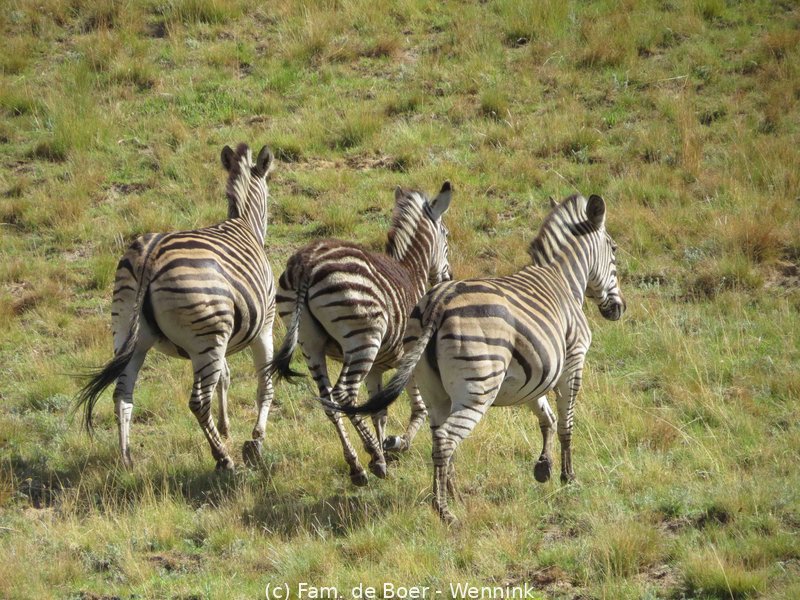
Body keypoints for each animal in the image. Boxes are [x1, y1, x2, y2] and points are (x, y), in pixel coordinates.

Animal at [76, 143, 277, 471]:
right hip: (206, 338)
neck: (243, 222)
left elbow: (225, 377)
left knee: (122, 394)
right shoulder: (264, 326)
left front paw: (226, 428)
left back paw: (127, 459)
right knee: (197, 401)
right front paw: (255, 442)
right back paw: (223, 459)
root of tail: (150, 256)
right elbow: (265, 386)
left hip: (129, 335)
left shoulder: (225, 337)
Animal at [272, 182, 454, 486]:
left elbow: (378, 409)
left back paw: (358, 466)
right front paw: (396, 445)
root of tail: (306, 261)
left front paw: (385, 445)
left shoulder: (378, 368)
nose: (448, 277)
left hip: (309, 343)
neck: (412, 271)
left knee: (329, 401)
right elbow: (419, 408)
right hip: (363, 338)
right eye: (447, 236)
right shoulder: (410, 358)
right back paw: (374, 458)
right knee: (344, 395)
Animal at [328, 193, 626, 522]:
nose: (618, 309)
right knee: (447, 439)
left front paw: (543, 467)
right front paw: (568, 477)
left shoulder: (536, 372)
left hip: (435, 391)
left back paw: (453, 495)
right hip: (477, 388)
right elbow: (565, 422)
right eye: (613, 250)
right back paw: (444, 510)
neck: (562, 277)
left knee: (439, 438)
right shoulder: (573, 362)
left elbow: (545, 416)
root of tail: (438, 302)